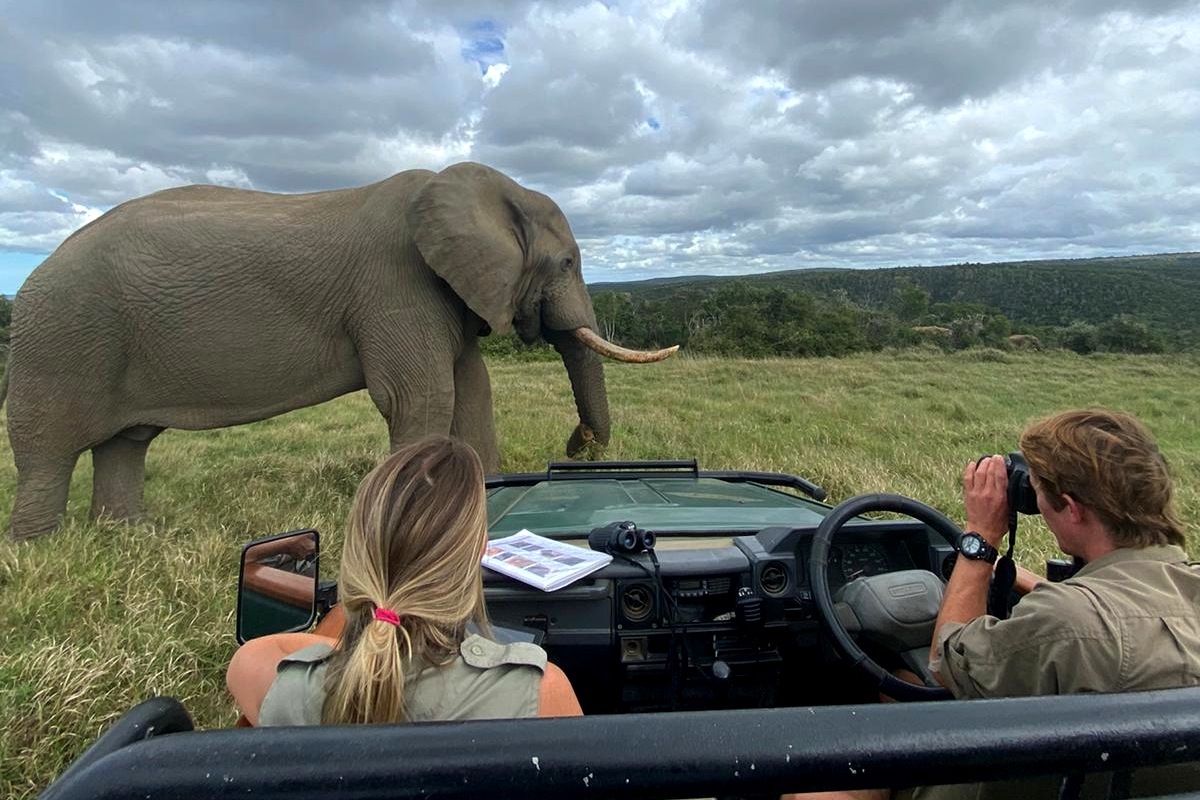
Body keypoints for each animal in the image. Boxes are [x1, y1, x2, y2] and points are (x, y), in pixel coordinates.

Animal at [2, 160, 676, 542]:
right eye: (567, 264)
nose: (576, 445)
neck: (492, 189)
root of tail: (38, 270)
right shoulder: (395, 283)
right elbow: (420, 394)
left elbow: (473, 387)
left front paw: (491, 496)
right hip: (59, 338)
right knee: (47, 451)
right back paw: (41, 550)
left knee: (125, 443)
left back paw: (131, 538)